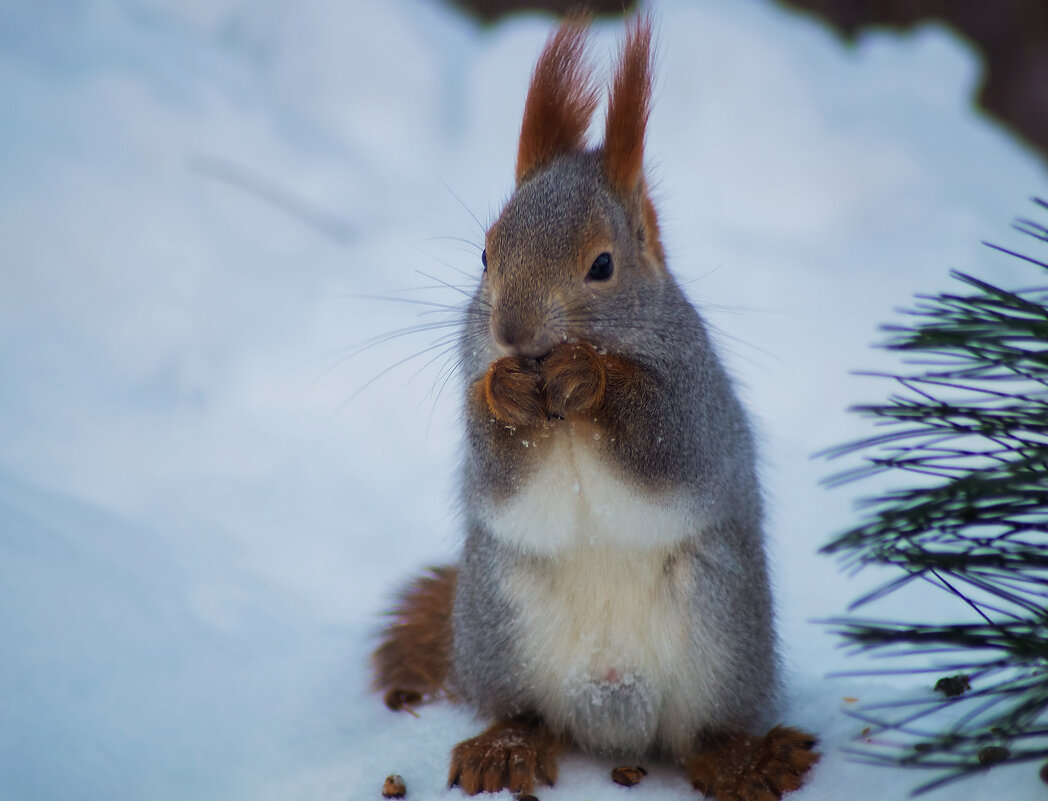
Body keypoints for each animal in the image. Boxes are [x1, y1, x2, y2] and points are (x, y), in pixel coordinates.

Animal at [373, 14, 821, 801]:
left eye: (603, 266)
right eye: (485, 254)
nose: (511, 332)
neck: (562, 414)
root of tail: (613, 715)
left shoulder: (693, 398)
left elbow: (662, 444)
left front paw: (591, 375)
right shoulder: (476, 389)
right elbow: (497, 468)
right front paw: (505, 392)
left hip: (721, 628)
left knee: (701, 734)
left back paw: (742, 760)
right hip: (500, 626)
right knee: (529, 713)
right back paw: (507, 747)